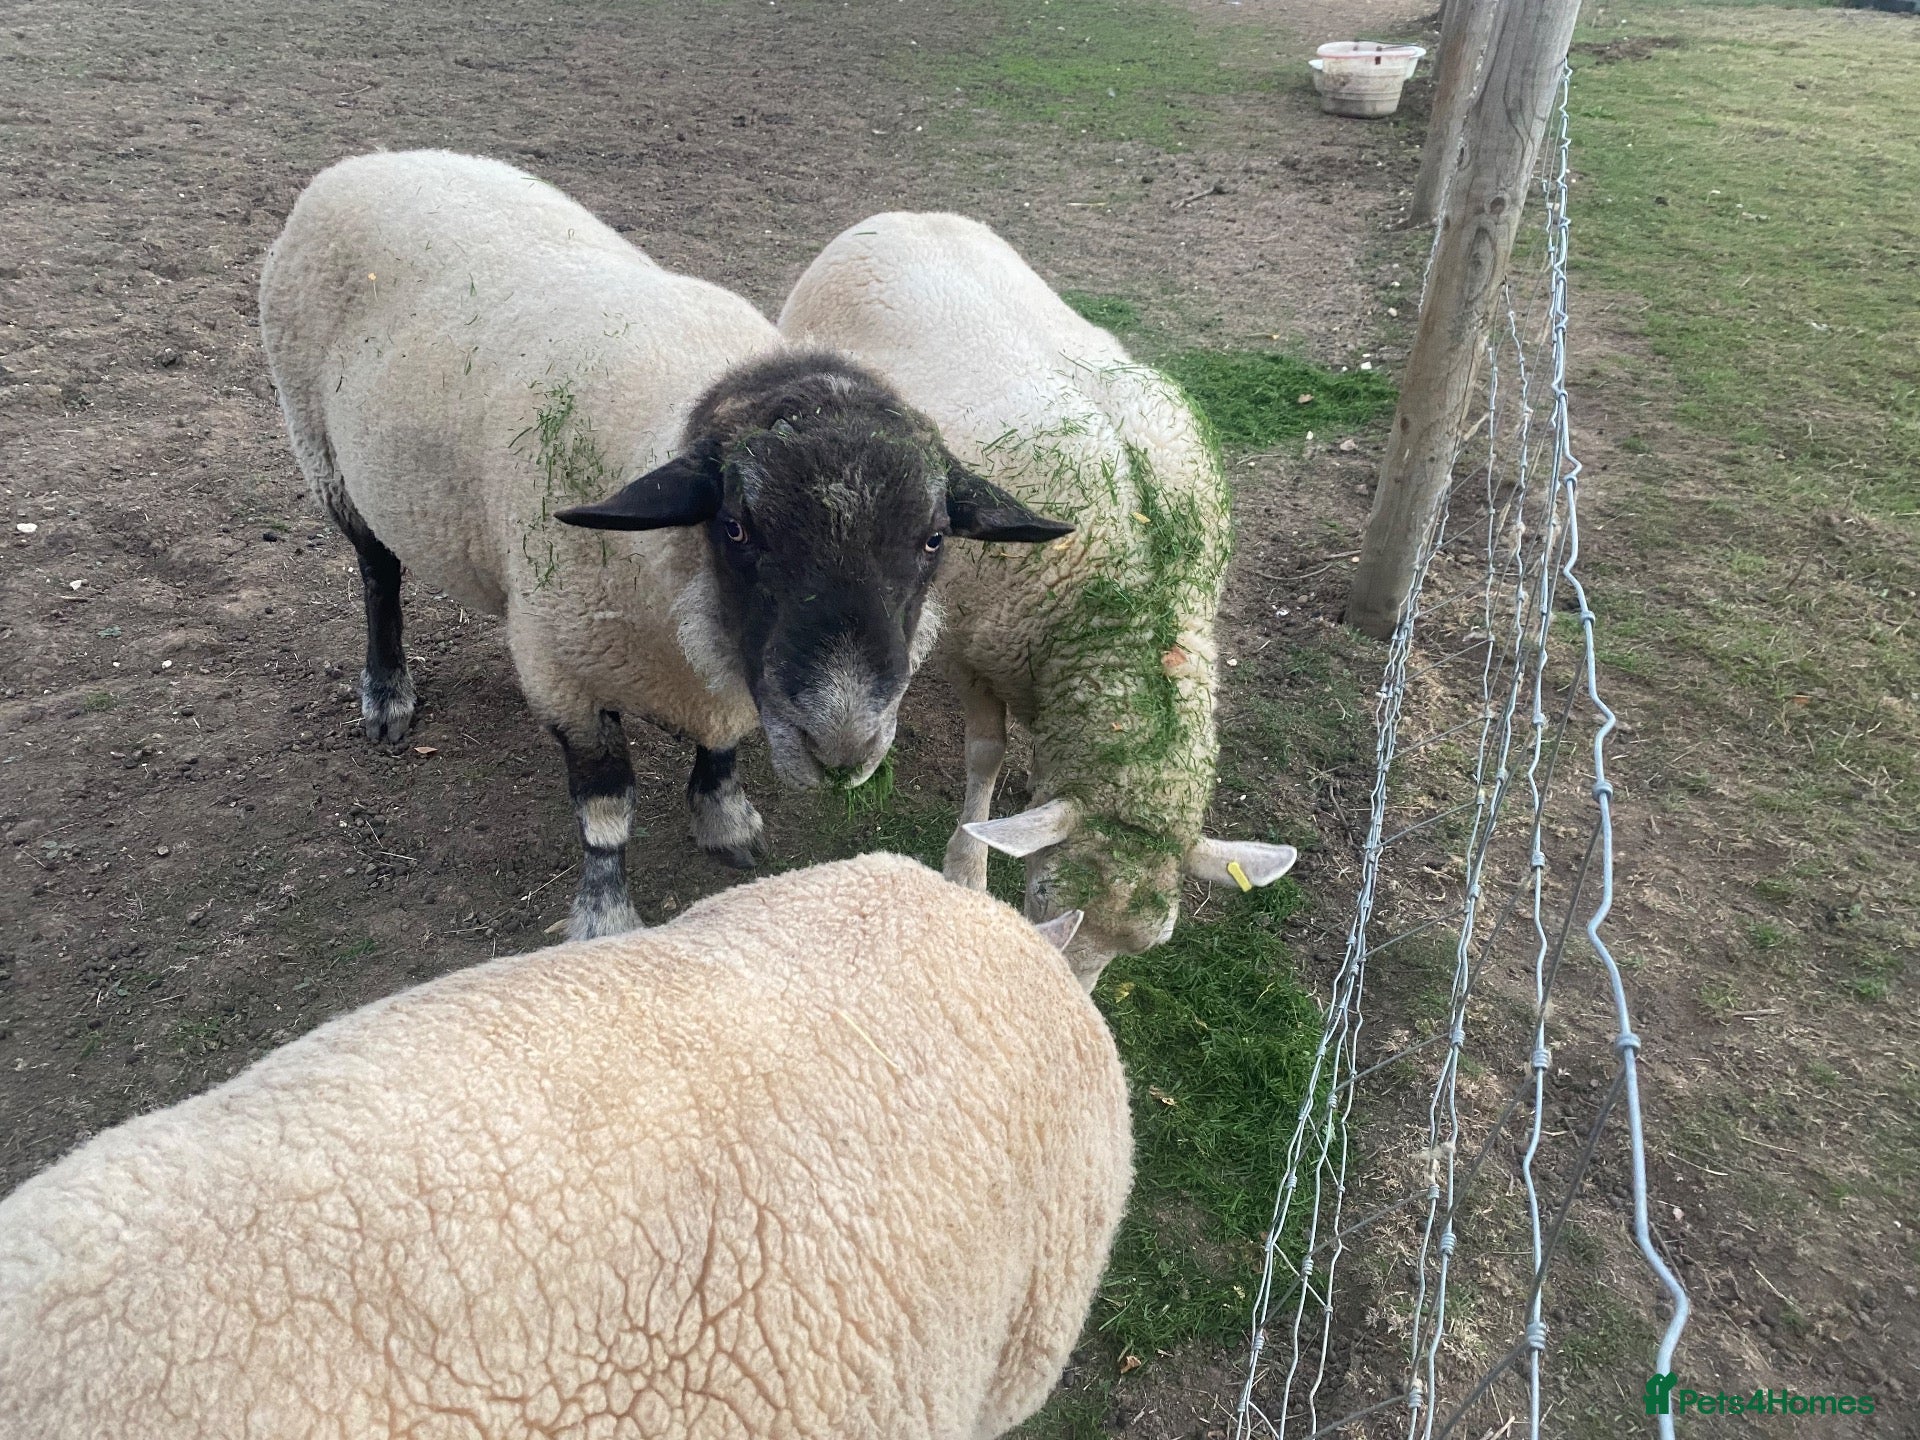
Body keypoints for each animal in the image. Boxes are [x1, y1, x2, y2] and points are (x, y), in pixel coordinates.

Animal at [260, 154, 1070, 939]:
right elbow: (606, 808)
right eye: (738, 528)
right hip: (323, 451)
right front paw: (606, 916)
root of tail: (374, 159)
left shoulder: (723, 673)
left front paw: (724, 819)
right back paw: (386, 692)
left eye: (933, 538)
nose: (841, 750)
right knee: (377, 573)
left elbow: (722, 746)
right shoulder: (565, 671)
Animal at [780, 213, 1298, 983]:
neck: (1136, 605)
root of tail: (895, 217)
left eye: (1153, 944)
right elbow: (984, 754)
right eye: (1042, 894)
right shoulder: (973, 640)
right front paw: (967, 864)